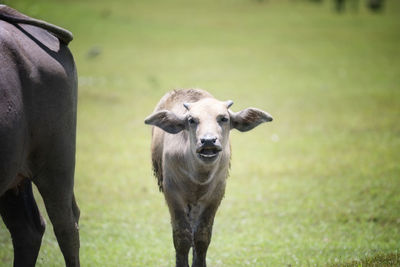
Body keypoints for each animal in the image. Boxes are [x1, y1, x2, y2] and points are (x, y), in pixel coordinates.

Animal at [145, 89, 274, 267]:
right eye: (192, 120)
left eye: (224, 118)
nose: (208, 141)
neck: (198, 177)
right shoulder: (172, 194)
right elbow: (181, 237)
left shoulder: (215, 195)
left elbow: (202, 236)